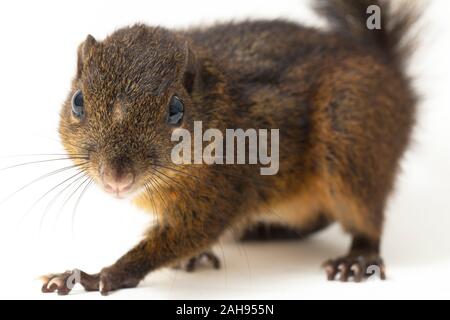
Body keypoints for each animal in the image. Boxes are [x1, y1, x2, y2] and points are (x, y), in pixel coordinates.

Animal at [40, 0, 420, 296]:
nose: (116, 177)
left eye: (175, 109)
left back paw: (358, 258)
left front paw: (97, 275)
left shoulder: (223, 189)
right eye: (77, 102)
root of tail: (396, 80)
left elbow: (189, 232)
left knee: (366, 219)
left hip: (352, 133)